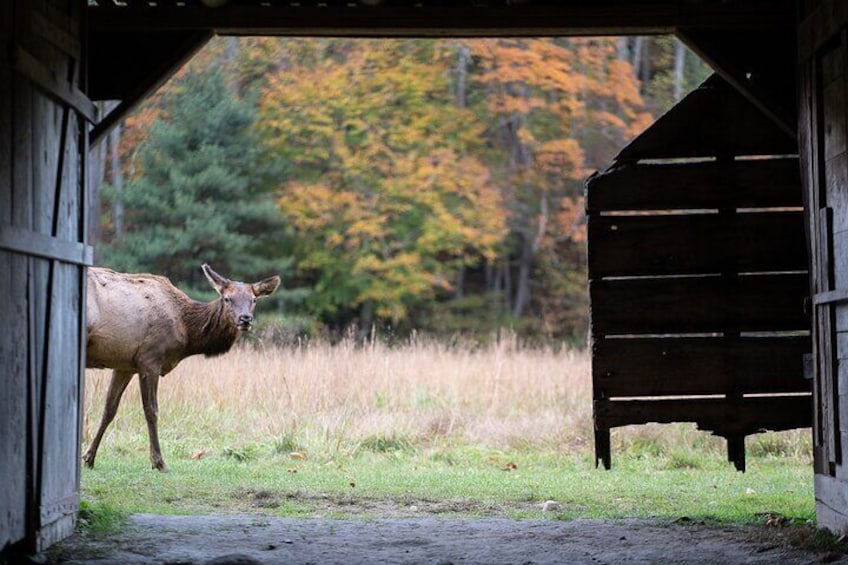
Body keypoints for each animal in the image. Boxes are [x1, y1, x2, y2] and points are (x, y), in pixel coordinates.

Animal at [83, 264, 282, 472]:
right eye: (227, 298)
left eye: (254, 299)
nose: (245, 319)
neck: (186, 331)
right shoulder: (150, 359)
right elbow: (151, 411)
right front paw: (159, 462)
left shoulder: (125, 365)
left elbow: (109, 410)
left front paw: (89, 458)